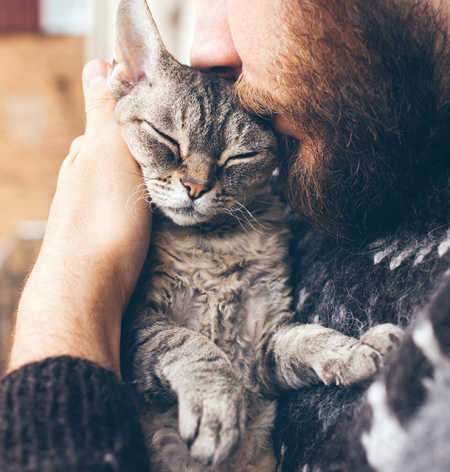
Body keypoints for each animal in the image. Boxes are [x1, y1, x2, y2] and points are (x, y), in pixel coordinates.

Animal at [108, 0, 404, 472]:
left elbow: (304, 337)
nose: (195, 187)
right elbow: (192, 345)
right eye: (166, 138)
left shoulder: (263, 342)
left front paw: (350, 349)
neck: (214, 243)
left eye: (239, 157)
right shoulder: (136, 325)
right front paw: (217, 406)